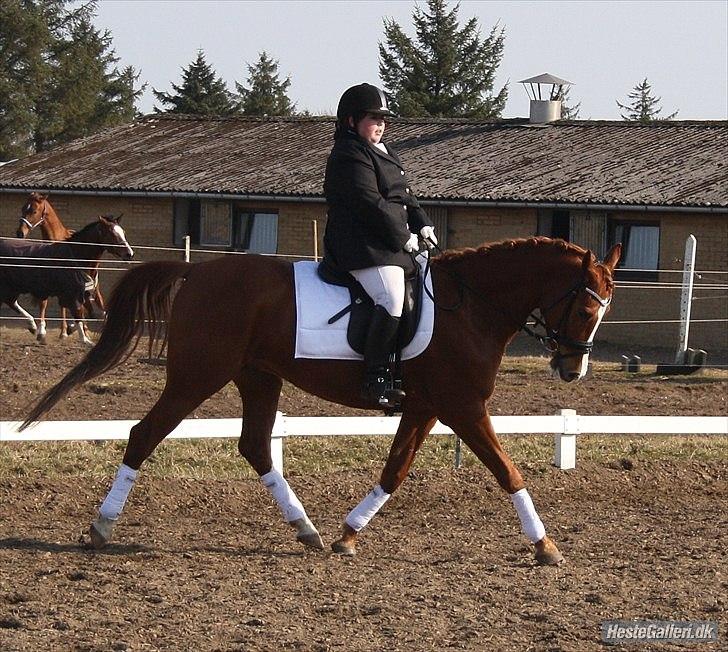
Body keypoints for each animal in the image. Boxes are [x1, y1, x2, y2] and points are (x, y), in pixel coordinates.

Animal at [0, 215, 134, 346]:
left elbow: (94, 314)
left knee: (11, 302)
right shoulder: (73, 295)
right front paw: (85, 339)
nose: (129, 254)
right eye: (111, 233)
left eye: (123, 232)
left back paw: (33, 326)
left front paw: (71, 329)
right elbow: (80, 315)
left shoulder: (85, 294)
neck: (76, 258)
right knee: (10, 302)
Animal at [14, 192, 109, 342]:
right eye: (23, 208)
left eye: (34, 211)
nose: (20, 233)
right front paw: (41, 332)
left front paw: (63, 331)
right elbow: (44, 303)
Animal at [22, 236, 624, 564]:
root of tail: (197, 271)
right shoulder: (462, 406)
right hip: (198, 375)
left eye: (605, 309)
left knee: (255, 447)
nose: (572, 370)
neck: (471, 305)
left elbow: (395, 469)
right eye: (586, 309)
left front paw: (348, 535)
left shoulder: (426, 406)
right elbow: (507, 472)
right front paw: (545, 546)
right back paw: (101, 528)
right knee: (144, 435)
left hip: (258, 377)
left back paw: (306, 529)